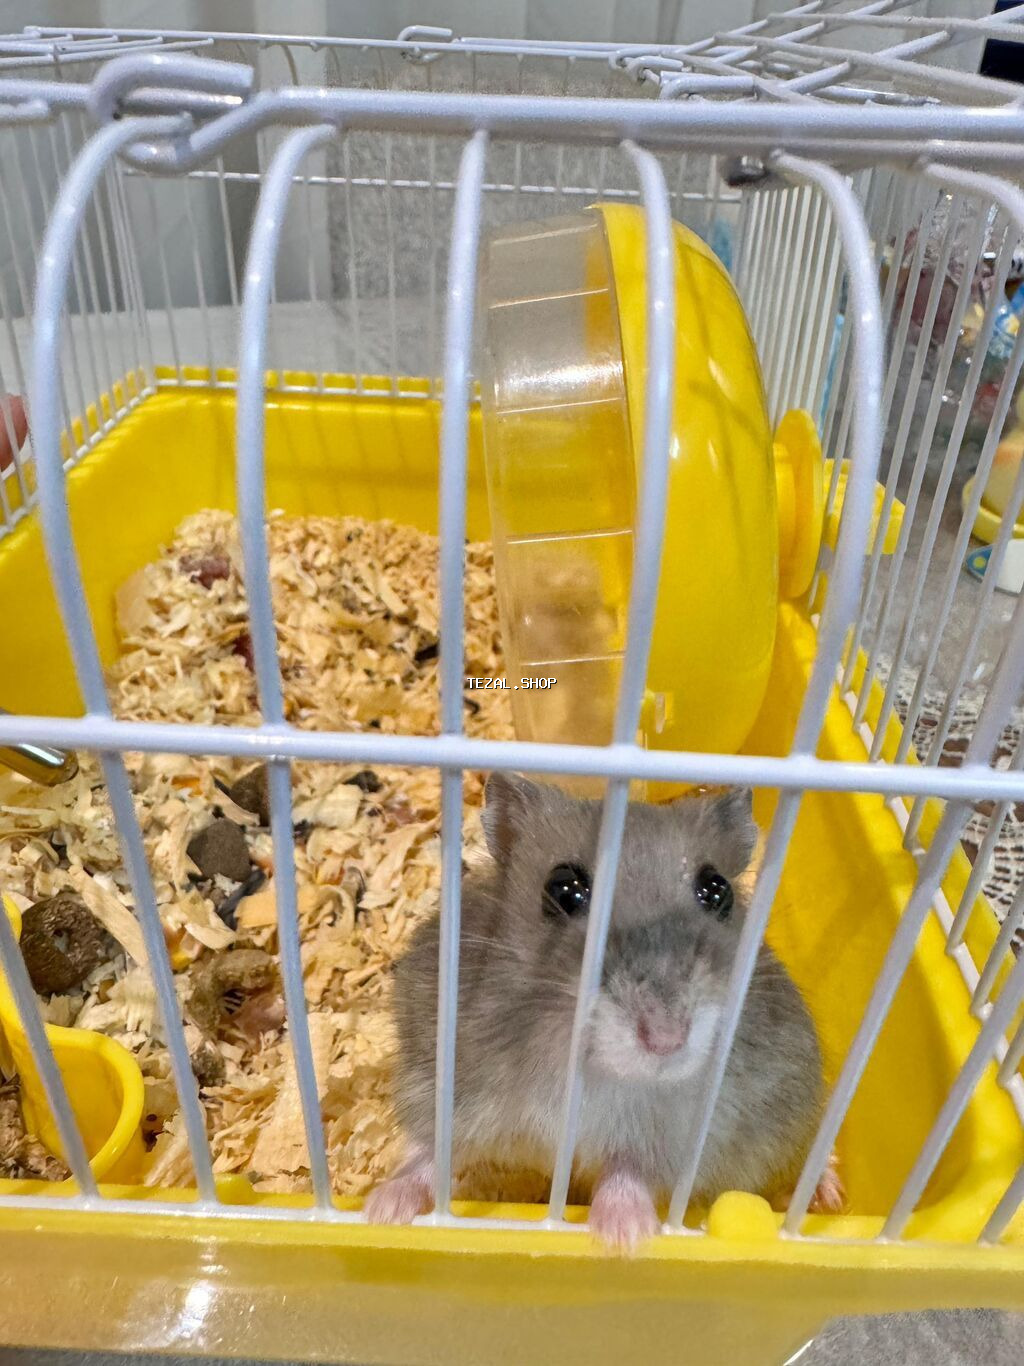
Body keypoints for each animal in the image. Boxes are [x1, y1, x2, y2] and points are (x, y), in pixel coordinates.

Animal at [365, 774, 834, 1249]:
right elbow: (430, 1150)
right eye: (564, 889)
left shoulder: (674, 1134)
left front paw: (625, 1238)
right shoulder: (444, 1082)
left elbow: (627, 1169)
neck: (587, 1071)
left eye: (717, 891)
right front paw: (383, 1212)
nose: (666, 1039)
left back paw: (826, 1192)